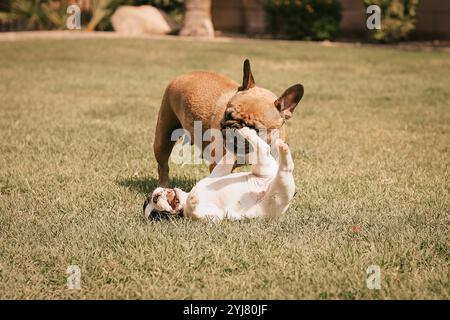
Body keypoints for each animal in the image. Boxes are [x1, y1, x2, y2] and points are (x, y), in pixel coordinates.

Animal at [143, 127, 296, 220]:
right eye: (158, 215)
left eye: (150, 197)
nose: (155, 197)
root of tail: (268, 182)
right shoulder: (211, 217)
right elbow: (195, 212)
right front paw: (193, 200)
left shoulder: (216, 174)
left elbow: (224, 163)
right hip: (278, 190)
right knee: (284, 167)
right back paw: (282, 147)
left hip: (265, 170)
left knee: (263, 150)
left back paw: (248, 133)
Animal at [153, 58, 304, 186]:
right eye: (226, 115)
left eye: (255, 129)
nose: (234, 129)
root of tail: (182, 76)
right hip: (163, 138)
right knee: (163, 166)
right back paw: (163, 186)